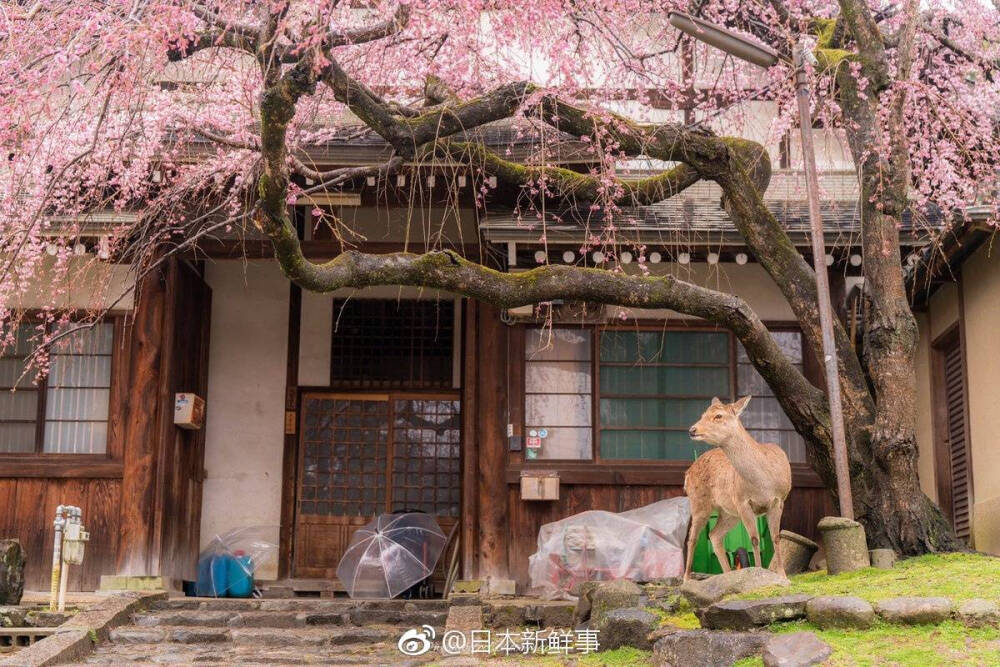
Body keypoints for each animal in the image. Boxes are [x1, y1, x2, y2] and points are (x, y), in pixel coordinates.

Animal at [684, 396, 792, 580]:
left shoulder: (779, 500)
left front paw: (783, 576)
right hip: (699, 502)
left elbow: (776, 537)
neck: (762, 483)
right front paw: (758, 572)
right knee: (693, 538)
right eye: (703, 414)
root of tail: (687, 473)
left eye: (718, 416)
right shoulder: (742, 502)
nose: (692, 429)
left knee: (714, 535)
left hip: (729, 513)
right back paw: (686, 579)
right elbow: (754, 538)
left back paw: (728, 575)